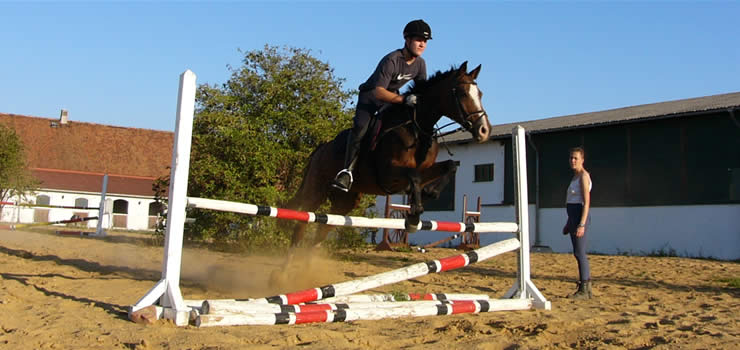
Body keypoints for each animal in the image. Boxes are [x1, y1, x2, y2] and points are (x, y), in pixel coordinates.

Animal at [284, 60, 492, 246]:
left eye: (480, 94)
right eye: (463, 93)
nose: (484, 131)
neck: (417, 127)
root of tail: (321, 148)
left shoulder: (425, 170)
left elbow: (449, 166)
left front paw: (429, 193)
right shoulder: (389, 175)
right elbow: (414, 176)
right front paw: (414, 216)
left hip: (344, 203)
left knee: (320, 231)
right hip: (316, 190)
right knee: (301, 222)